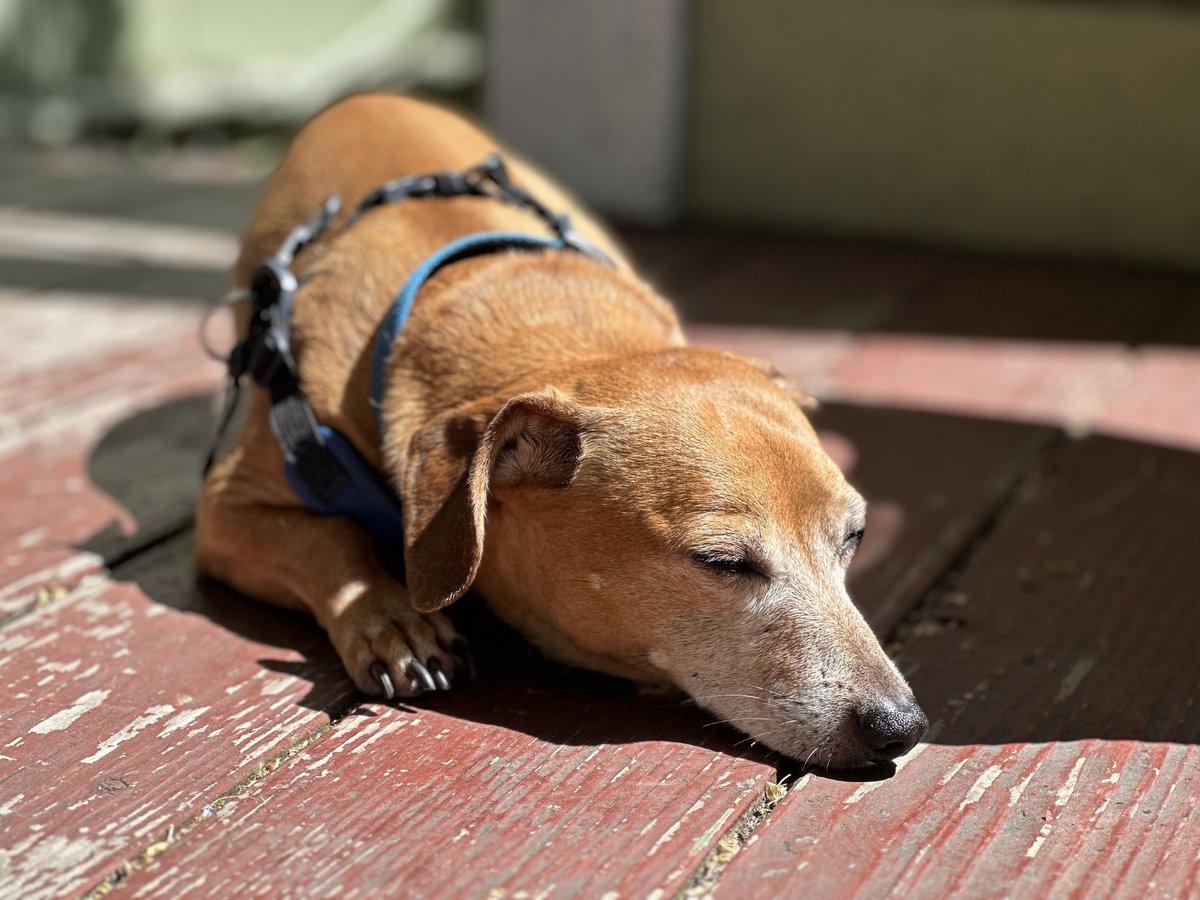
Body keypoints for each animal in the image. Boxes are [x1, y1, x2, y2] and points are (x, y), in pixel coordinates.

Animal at [199, 93, 926, 768]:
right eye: (723, 563)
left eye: (855, 538)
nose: (901, 726)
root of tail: (372, 97)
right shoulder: (224, 512)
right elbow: (328, 537)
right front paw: (392, 618)